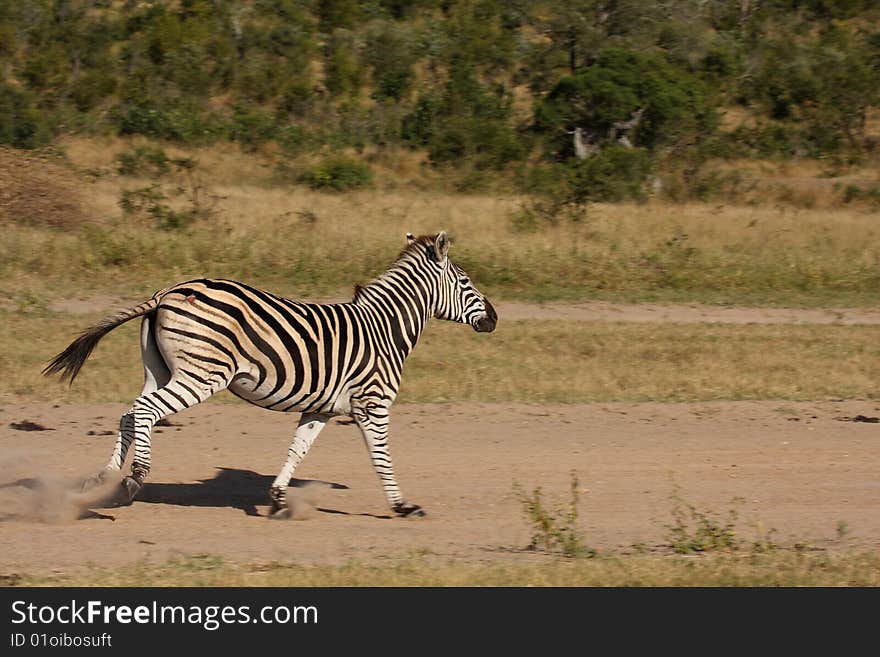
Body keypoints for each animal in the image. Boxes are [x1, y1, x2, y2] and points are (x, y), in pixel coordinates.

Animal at [43, 231, 496, 516]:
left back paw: (102, 478)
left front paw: (278, 499)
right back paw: (133, 481)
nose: (494, 319)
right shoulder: (374, 403)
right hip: (202, 374)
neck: (384, 328)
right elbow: (381, 457)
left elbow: (298, 449)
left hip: (160, 369)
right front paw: (402, 506)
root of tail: (167, 292)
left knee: (129, 413)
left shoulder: (322, 407)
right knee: (145, 412)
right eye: (466, 281)